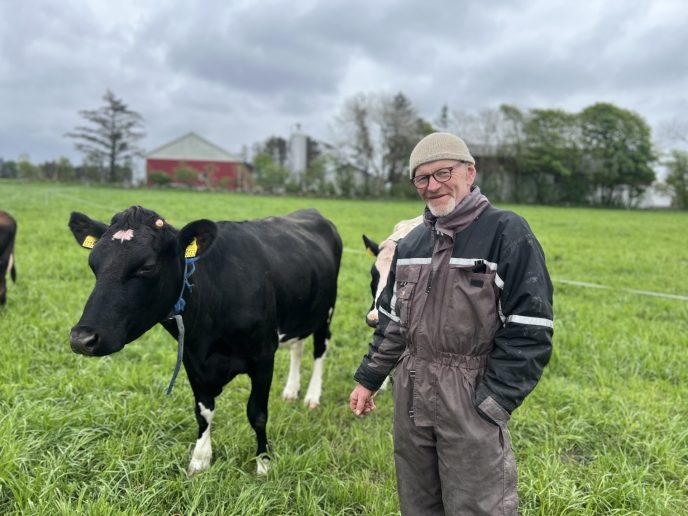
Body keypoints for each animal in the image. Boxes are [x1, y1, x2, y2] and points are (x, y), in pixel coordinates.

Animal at [67, 206, 342, 476]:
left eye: (147, 266)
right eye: (93, 263)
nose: (82, 338)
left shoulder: (263, 356)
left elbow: (258, 414)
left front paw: (263, 463)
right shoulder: (193, 360)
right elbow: (203, 412)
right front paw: (200, 460)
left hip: (326, 313)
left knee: (320, 349)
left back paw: (312, 396)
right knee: (298, 346)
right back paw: (290, 391)